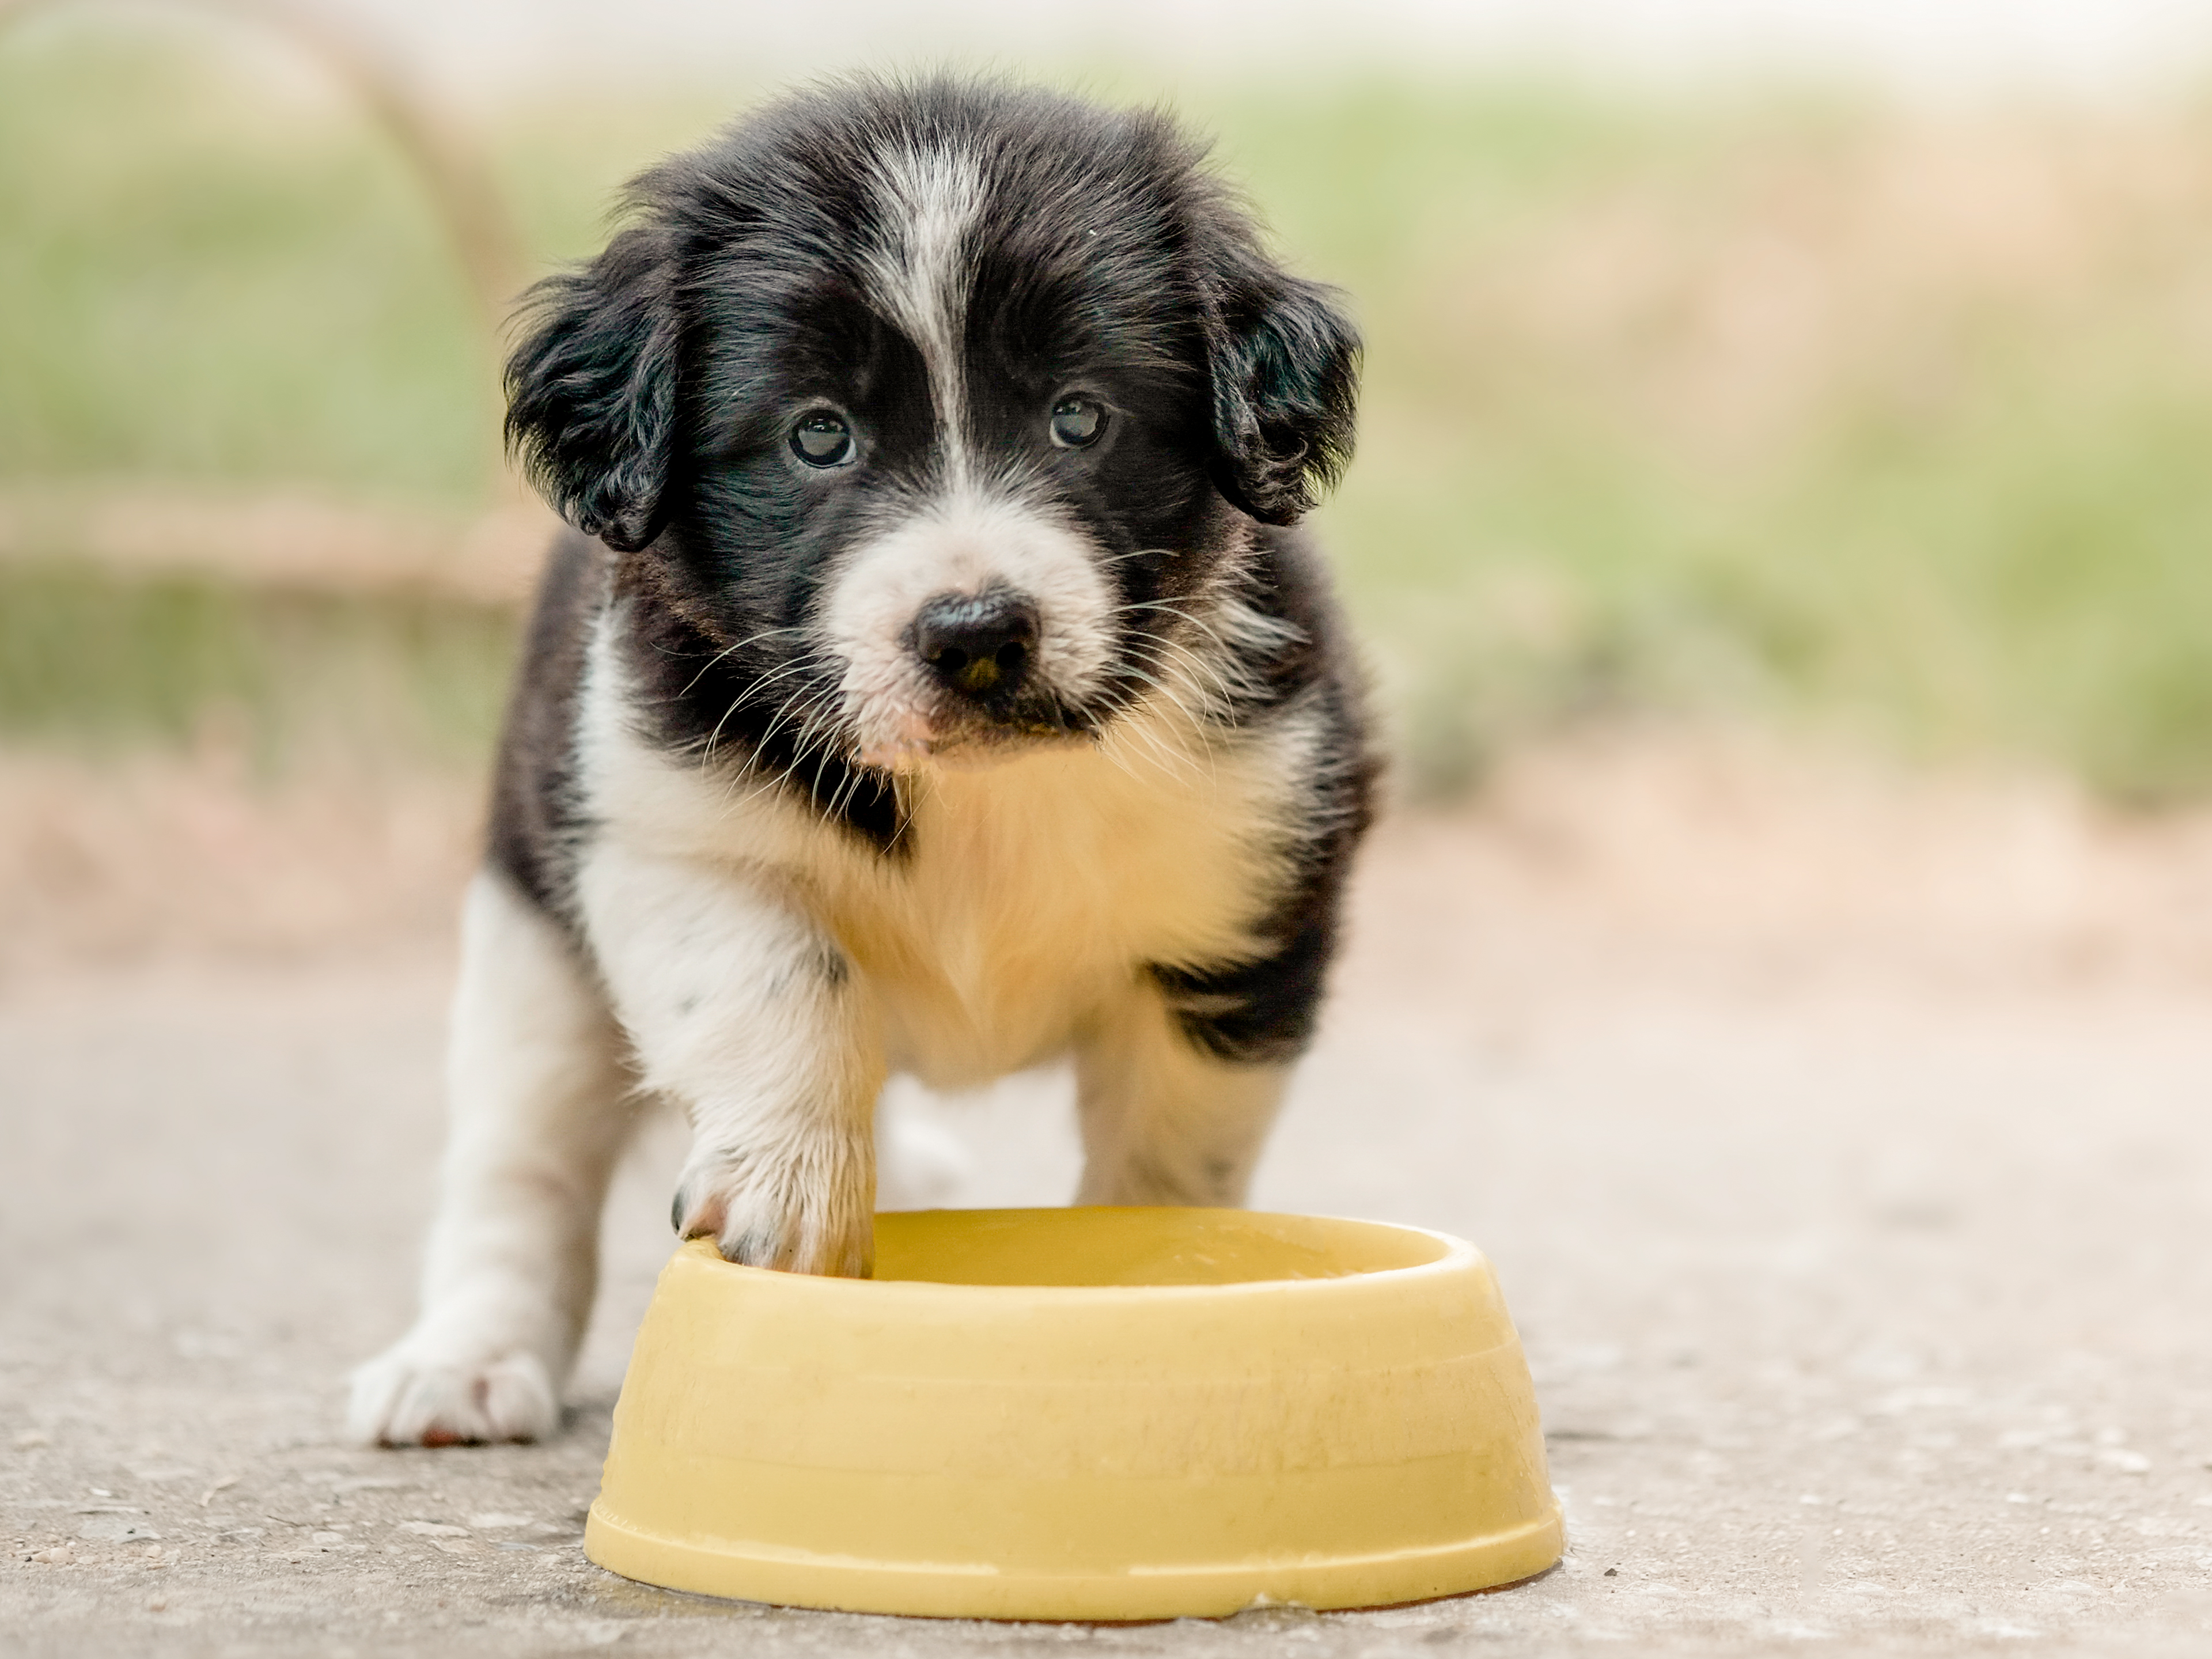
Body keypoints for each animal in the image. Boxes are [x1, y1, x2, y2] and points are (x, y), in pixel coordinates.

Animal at [354, 71, 1371, 1451]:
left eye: (1081, 418)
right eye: (818, 437)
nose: (977, 634)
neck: (979, 793)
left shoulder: (1249, 887)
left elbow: (1170, 1155)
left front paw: (1155, 1291)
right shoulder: (659, 822)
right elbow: (781, 984)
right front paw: (794, 1188)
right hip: (528, 937)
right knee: (521, 1165)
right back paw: (464, 1360)